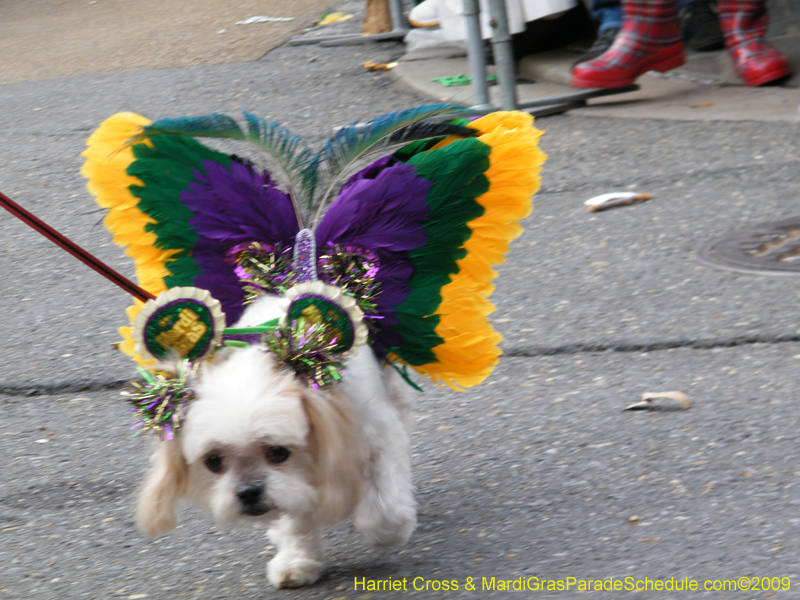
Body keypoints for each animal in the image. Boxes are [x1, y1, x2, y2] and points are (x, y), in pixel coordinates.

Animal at [134, 296, 416, 584]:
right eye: (213, 461)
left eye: (278, 452)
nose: (248, 492)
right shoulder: (296, 478)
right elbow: (294, 515)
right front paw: (297, 559)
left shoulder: (376, 436)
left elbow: (383, 506)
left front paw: (388, 530)